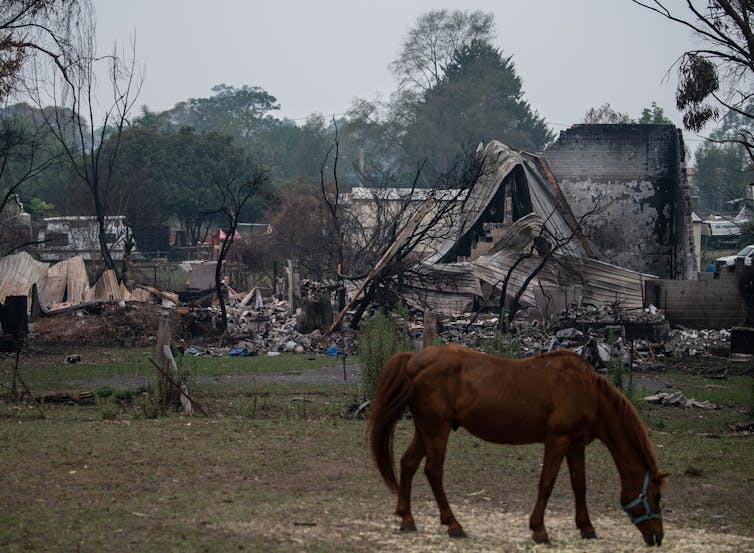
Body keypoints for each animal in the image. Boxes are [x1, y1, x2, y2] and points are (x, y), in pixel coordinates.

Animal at [368, 342, 668, 544]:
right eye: (656, 496)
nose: (658, 537)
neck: (586, 390)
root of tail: (413, 360)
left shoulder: (576, 444)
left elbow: (579, 486)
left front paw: (587, 528)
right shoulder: (557, 441)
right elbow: (546, 485)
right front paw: (539, 530)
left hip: (425, 430)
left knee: (407, 463)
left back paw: (407, 519)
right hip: (436, 430)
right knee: (433, 471)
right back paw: (454, 525)